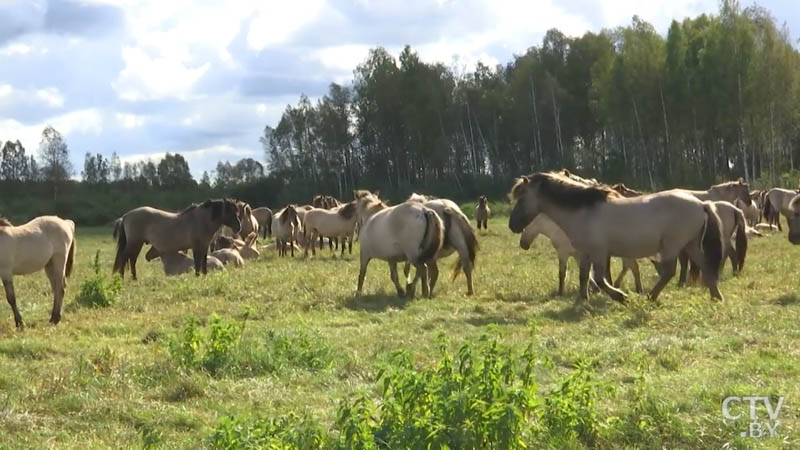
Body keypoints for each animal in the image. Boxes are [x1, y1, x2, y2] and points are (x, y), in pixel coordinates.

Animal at [510, 171, 728, 302]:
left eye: (522, 197)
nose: (512, 225)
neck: (583, 211)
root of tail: (701, 204)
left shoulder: (598, 252)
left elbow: (600, 279)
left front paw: (621, 296)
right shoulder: (585, 253)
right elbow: (584, 276)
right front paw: (582, 299)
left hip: (673, 246)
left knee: (668, 272)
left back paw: (650, 296)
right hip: (690, 244)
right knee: (705, 267)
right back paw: (716, 297)